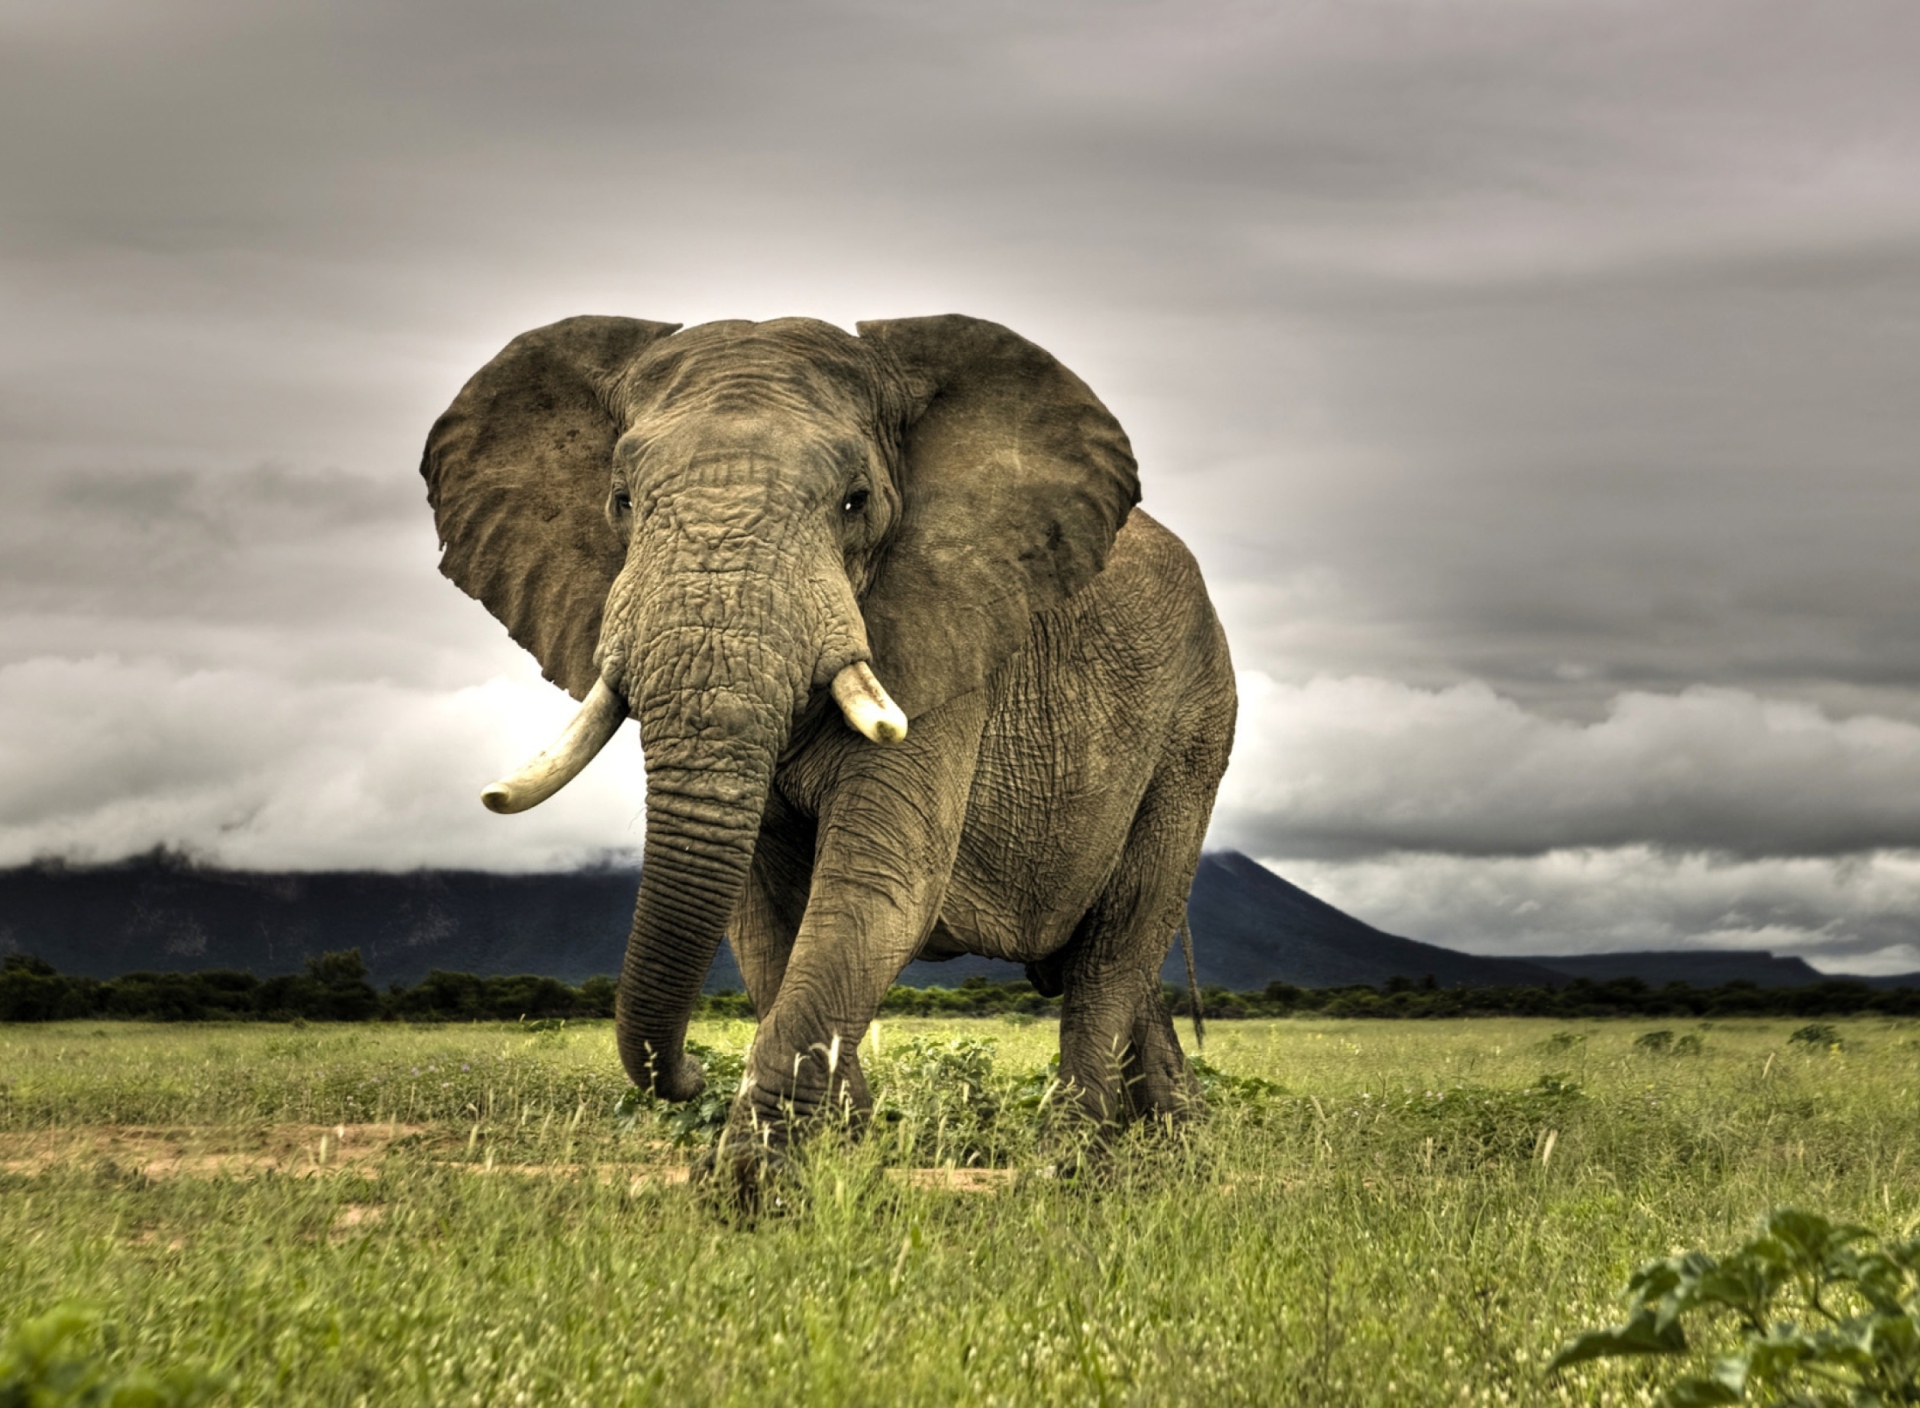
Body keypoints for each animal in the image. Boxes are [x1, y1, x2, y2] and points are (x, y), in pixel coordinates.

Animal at [420, 311, 1236, 1183]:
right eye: (622, 500)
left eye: (856, 501)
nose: (689, 1073)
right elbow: (761, 917)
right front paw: (843, 1153)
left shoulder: (946, 643)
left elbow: (877, 888)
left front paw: (751, 1187)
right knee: (1119, 963)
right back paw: (1178, 1147)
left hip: (1195, 726)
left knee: (1116, 945)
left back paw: (1071, 1169)